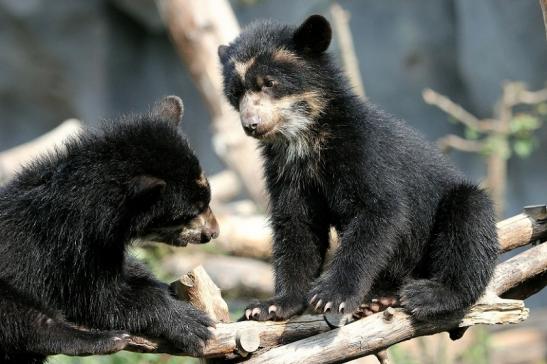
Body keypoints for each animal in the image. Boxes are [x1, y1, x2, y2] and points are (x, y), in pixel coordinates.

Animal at [0, 95, 218, 362]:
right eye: (188, 213)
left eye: (207, 199)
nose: (213, 233)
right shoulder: (70, 248)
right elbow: (98, 298)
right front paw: (190, 323)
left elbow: (128, 272)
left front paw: (163, 286)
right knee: (22, 320)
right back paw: (104, 340)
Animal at [219, 14, 500, 322]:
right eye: (236, 93)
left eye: (269, 83)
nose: (251, 124)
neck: (304, 140)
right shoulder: (285, 171)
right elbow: (296, 226)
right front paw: (270, 305)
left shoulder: (361, 150)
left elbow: (380, 210)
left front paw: (331, 296)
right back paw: (378, 299)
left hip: (454, 215)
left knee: (469, 220)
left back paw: (430, 294)